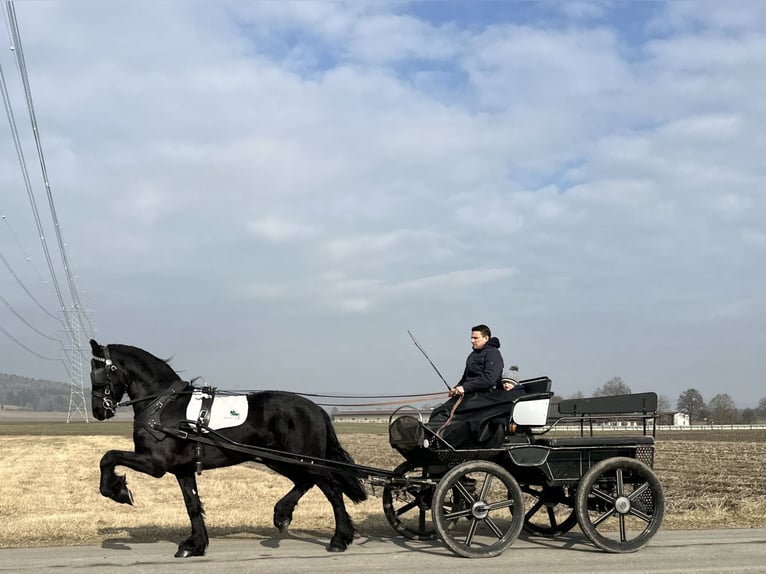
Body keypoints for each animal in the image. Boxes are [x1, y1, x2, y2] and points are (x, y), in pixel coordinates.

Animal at [87, 342, 368, 560]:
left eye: (98, 372)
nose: (99, 411)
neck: (163, 407)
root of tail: (317, 409)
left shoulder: (155, 463)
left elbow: (108, 457)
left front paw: (119, 491)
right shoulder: (182, 469)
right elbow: (192, 505)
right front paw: (195, 545)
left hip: (304, 459)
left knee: (332, 490)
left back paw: (338, 539)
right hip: (279, 460)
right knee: (306, 482)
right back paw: (282, 514)